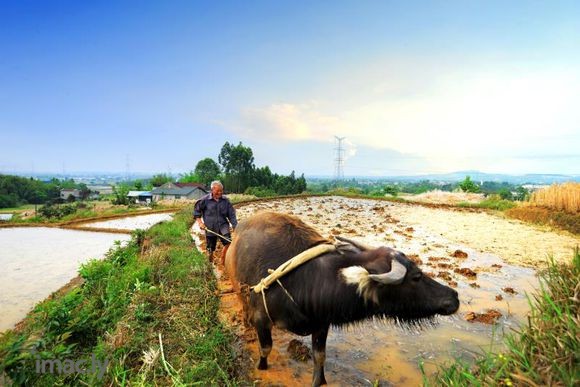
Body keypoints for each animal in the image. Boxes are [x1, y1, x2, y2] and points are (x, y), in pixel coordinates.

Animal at [225, 212, 458, 387]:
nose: (454, 297)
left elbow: (319, 356)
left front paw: (320, 381)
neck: (306, 279)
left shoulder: (321, 324)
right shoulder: (262, 318)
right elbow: (266, 347)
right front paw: (261, 366)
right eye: (416, 276)